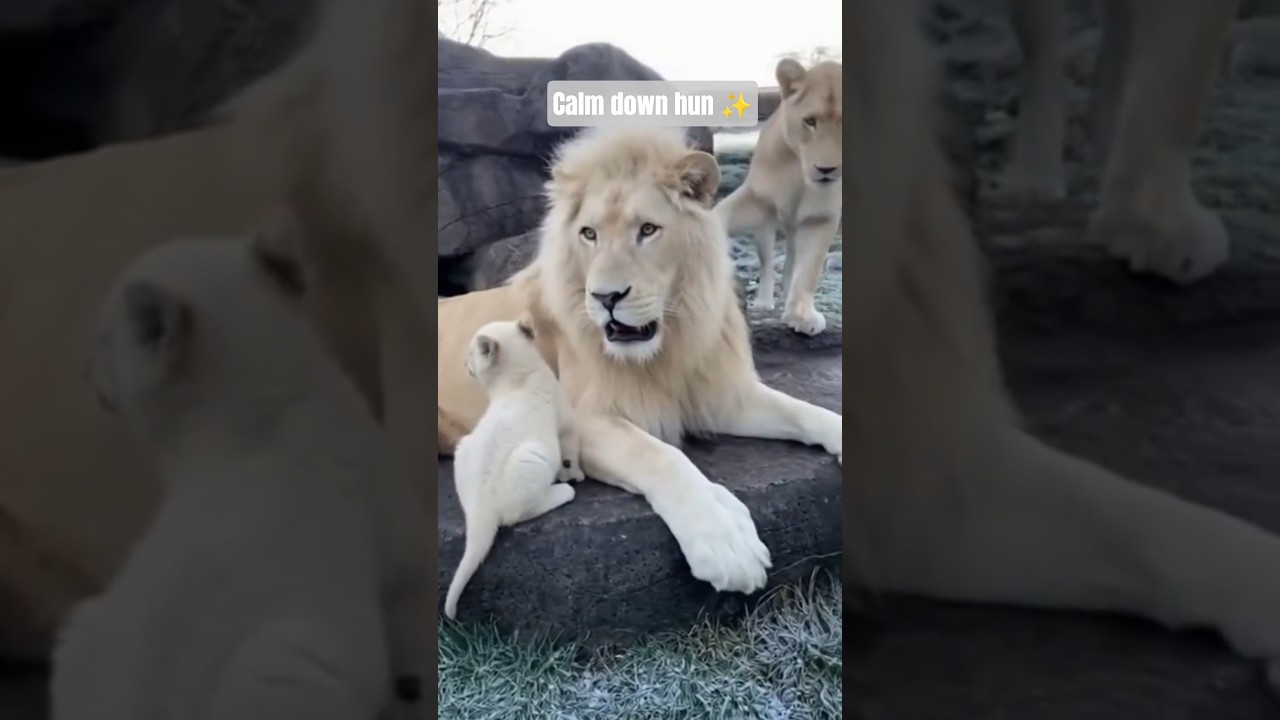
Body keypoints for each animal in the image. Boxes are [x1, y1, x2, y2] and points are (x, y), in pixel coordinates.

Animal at [715, 59, 842, 336]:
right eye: (810, 121)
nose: (826, 169)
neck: (801, 179)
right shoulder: (755, 199)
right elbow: (717, 216)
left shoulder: (822, 218)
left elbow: (808, 271)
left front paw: (801, 316)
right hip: (765, 229)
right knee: (767, 262)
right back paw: (764, 302)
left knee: (792, 262)